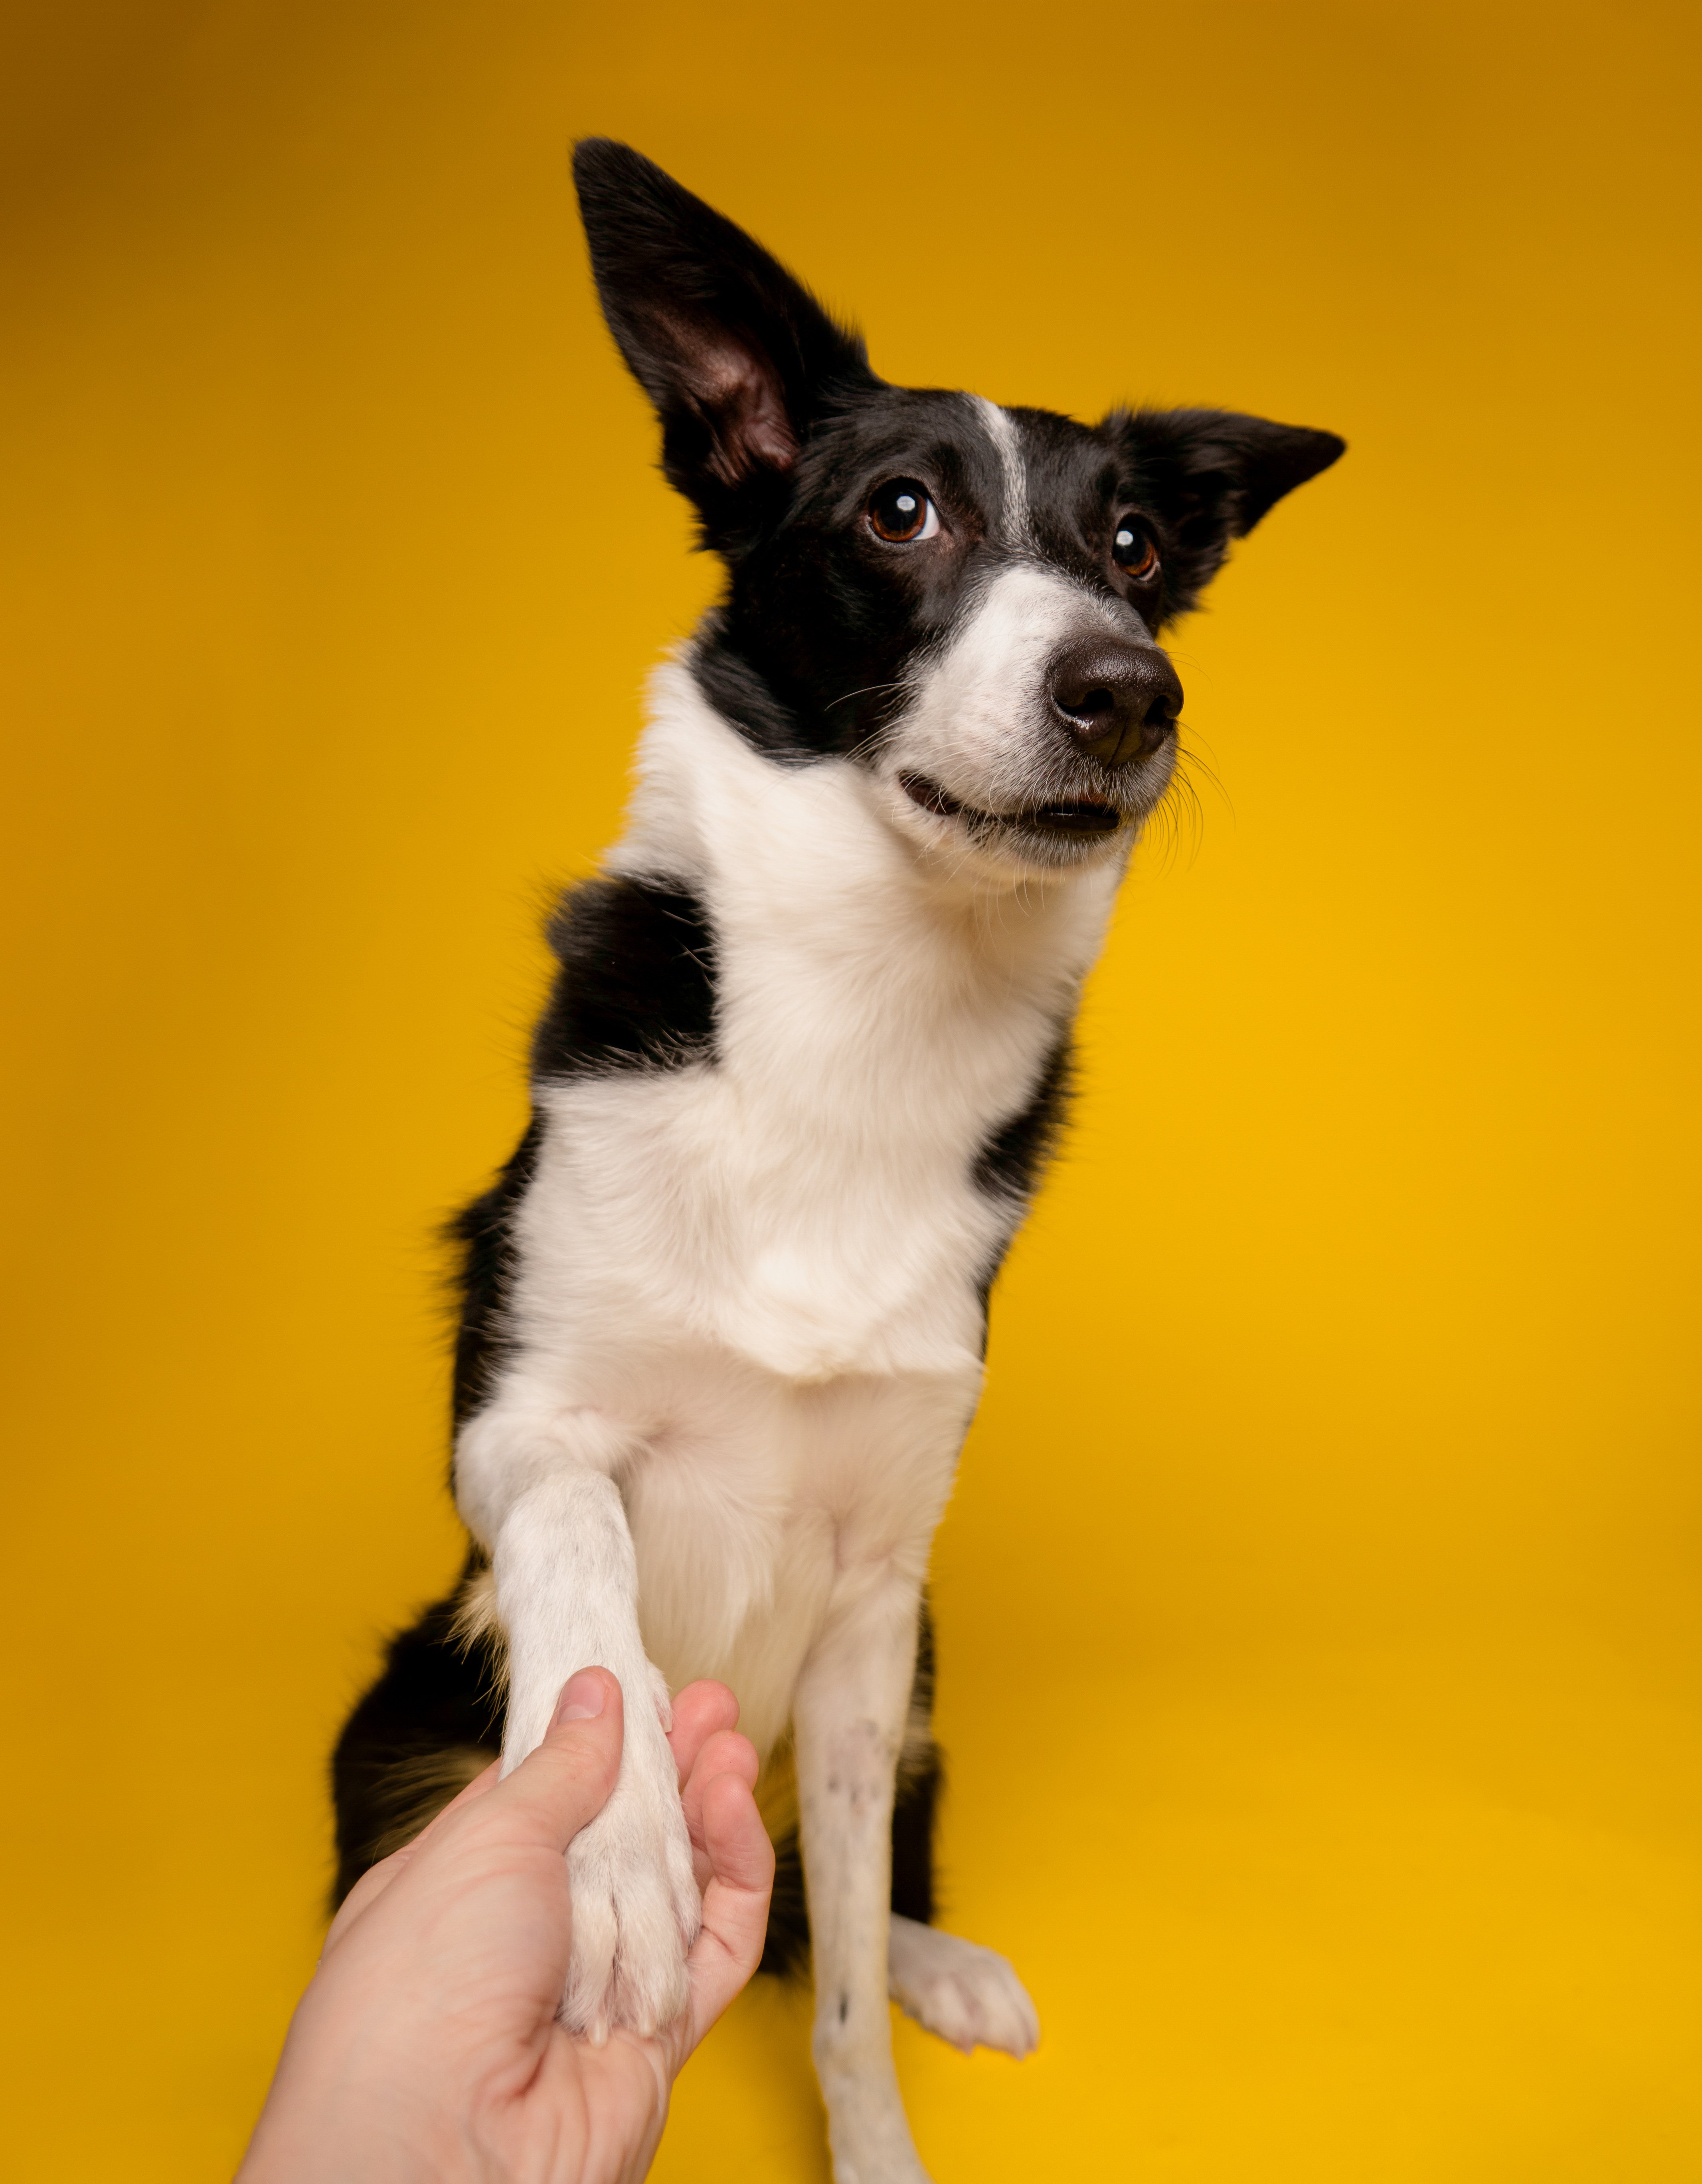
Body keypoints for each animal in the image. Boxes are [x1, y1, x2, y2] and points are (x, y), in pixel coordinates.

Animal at [332, 140, 1346, 2184]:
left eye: (1135, 545)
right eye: (900, 512)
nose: (1128, 691)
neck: (871, 1005)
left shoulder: (884, 1593)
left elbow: (850, 1975)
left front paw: (876, 2123)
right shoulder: (514, 1430)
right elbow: (584, 1585)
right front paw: (618, 1852)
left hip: (928, 1675)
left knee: (836, 1905)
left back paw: (941, 1952)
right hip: (396, 1709)